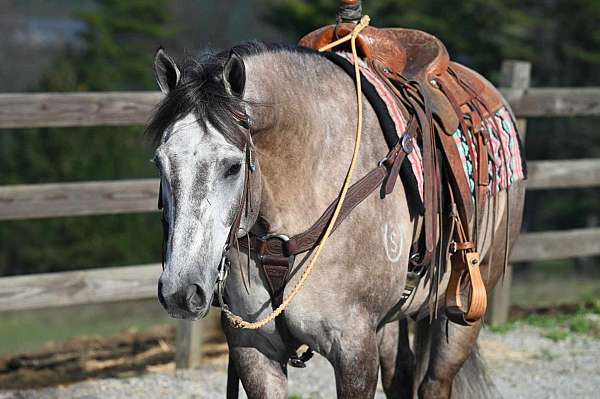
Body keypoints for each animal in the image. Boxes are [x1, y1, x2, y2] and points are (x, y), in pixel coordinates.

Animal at [149, 41, 524, 399]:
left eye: (233, 166)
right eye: (159, 162)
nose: (181, 292)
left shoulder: (354, 349)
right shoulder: (254, 349)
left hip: (466, 302)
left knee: (435, 382)